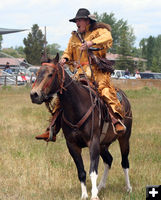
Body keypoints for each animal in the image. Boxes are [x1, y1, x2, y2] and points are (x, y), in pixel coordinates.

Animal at [29, 54, 132, 200]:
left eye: (50, 74)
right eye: (37, 73)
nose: (34, 94)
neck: (77, 107)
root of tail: (124, 97)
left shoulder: (93, 142)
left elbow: (93, 170)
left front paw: (93, 195)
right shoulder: (72, 145)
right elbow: (81, 171)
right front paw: (85, 194)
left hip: (124, 138)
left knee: (124, 162)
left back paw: (128, 188)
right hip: (103, 144)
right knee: (109, 160)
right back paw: (101, 186)